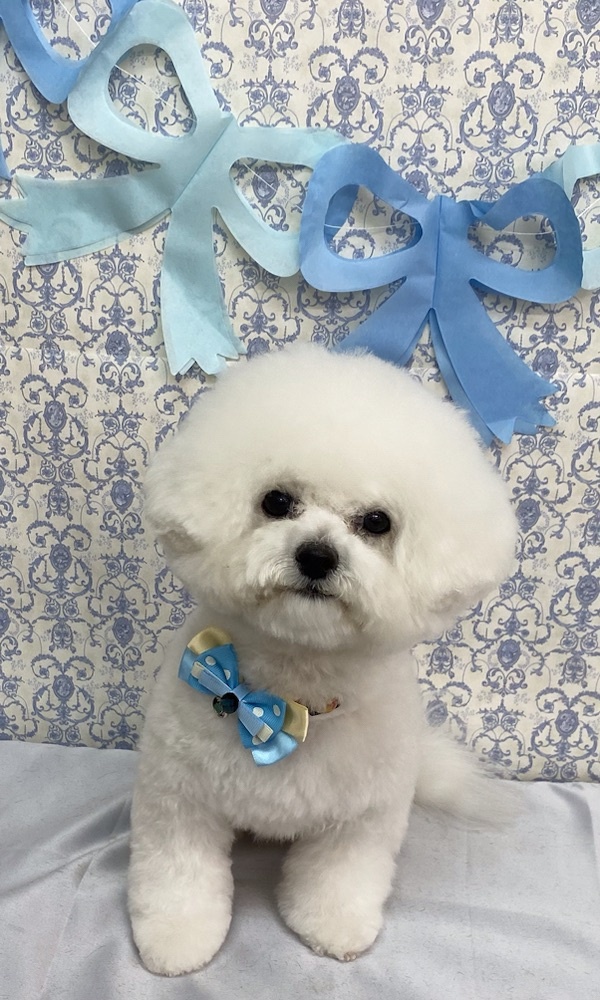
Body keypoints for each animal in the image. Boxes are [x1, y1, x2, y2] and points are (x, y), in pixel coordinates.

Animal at [128, 344, 517, 975]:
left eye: (377, 521)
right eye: (276, 501)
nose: (316, 555)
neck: (290, 694)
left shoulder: (363, 816)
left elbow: (340, 876)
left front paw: (333, 926)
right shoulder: (177, 799)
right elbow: (178, 874)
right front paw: (177, 936)